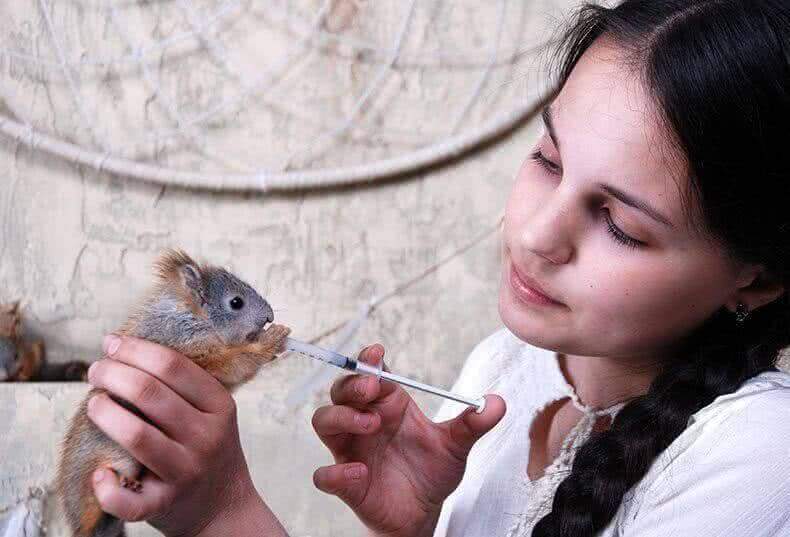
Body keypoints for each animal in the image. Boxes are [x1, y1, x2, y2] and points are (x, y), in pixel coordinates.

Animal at [55, 248, 292, 536]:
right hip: (111, 455)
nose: (269, 317)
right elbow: (235, 362)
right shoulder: (192, 347)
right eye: (236, 302)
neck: (194, 316)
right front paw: (271, 340)